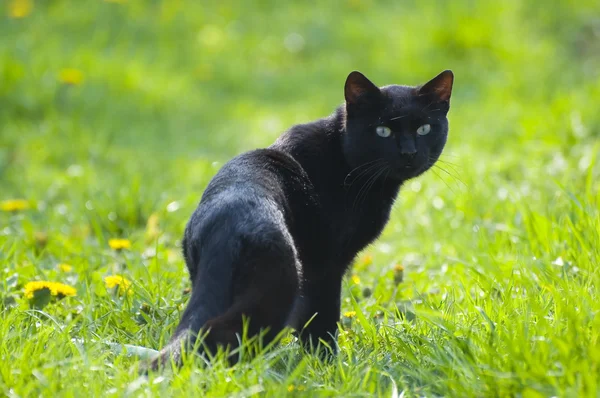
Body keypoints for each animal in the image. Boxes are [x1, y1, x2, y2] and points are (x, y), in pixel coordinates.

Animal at [148, 69, 452, 370]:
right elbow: (322, 322)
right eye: (383, 131)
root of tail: (225, 225)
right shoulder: (326, 268)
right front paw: (328, 368)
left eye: (424, 128)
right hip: (277, 291)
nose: (409, 153)